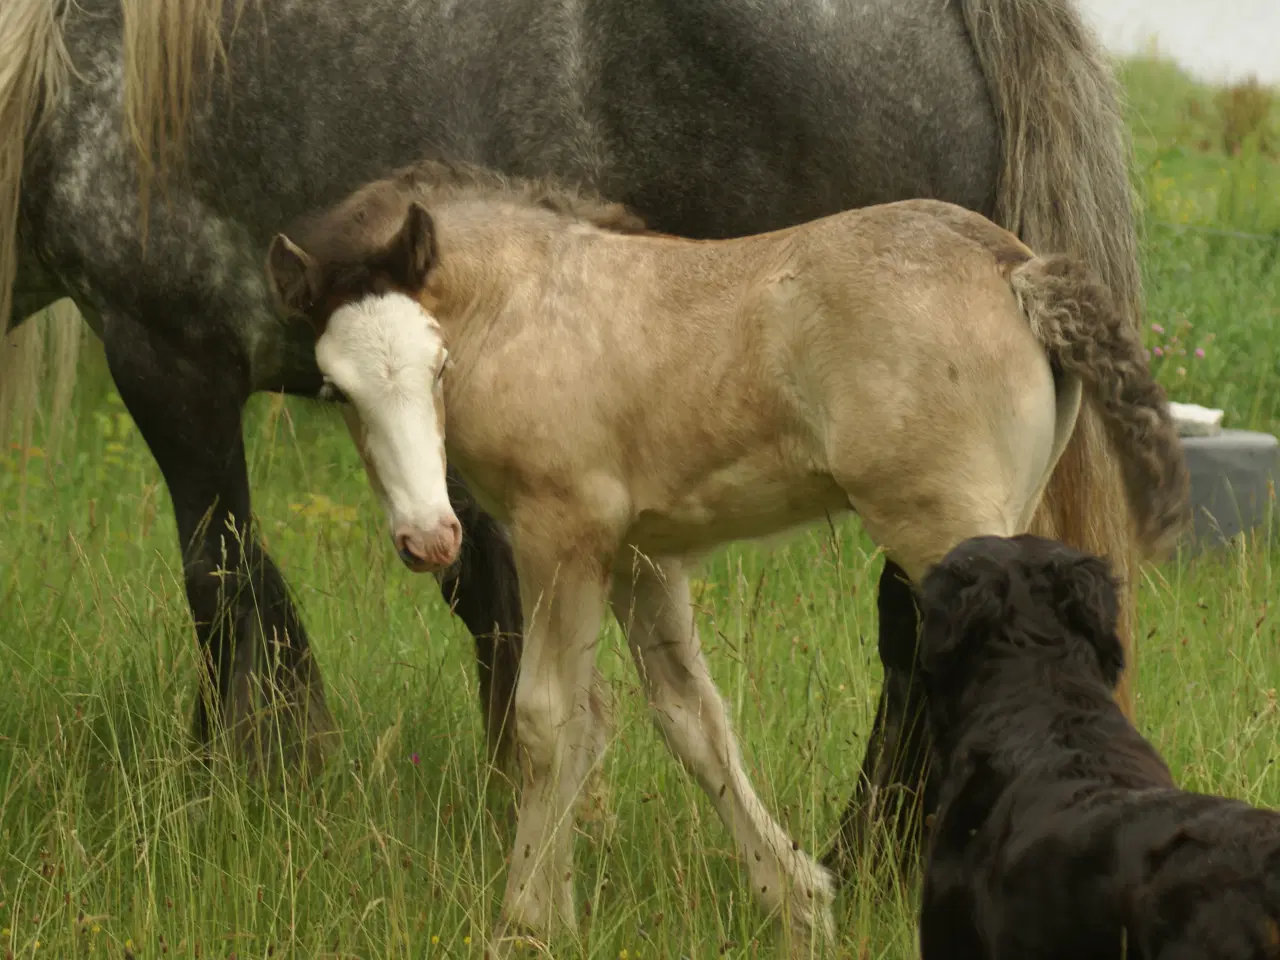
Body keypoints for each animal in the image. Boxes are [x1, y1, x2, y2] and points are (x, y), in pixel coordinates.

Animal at [259, 161, 1187, 957]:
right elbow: (686, 719)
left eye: (439, 363)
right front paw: (796, 901)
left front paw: (525, 923)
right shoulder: (641, 555)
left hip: (948, 532)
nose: (430, 538)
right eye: (337, 390)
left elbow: (549, 721)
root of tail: (1014, 269)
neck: (526, 305)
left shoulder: (561, 533)